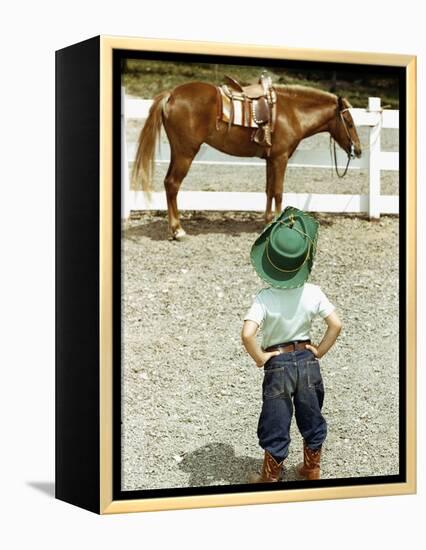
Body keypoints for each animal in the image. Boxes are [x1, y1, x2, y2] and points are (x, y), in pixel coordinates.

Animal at [132, 82, 360, 239]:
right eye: (349, 122)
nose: (358, 150)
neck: (291, 112)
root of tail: (171, 95)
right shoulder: (280, 158)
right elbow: (278, 192)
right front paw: (279, 223)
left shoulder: (270, 159)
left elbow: (269, 191)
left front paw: (268, 221)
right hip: (185, 153)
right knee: (172, 184)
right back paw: (177, 230)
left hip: (178, 152)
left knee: (168, 183)